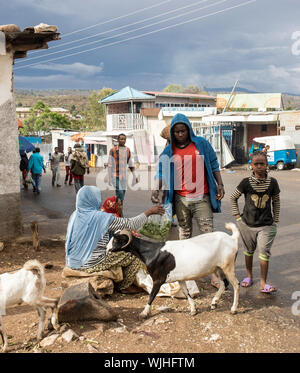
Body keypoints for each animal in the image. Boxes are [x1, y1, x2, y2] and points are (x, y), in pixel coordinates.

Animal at [106, 222, 240, 318]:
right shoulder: (181, 278)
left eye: (116, 239)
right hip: (217, 268)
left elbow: (152, 295)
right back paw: (214, 303)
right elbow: (186, 292)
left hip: (228, 266)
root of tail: (232, 238)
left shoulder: (158, 279)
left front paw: (144, 313)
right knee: (224, 283)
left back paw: (233, 309)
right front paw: (193, 310)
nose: (107, 249)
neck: (152, 252)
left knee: (236, 284)